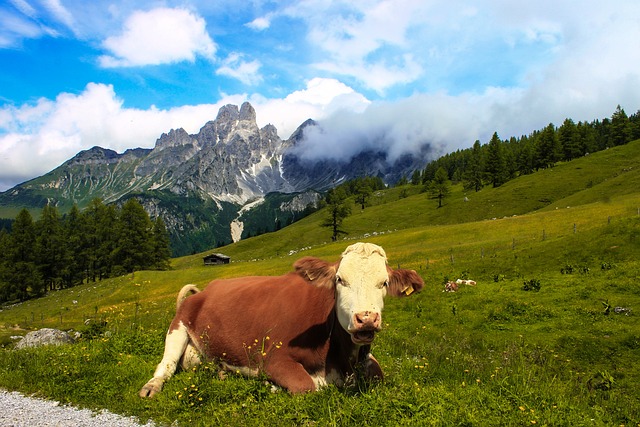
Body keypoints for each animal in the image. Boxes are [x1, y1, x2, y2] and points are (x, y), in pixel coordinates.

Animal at [138, 242, 422, 396]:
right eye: (340, 280)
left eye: (383, 283)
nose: (366, 318)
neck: (338, 359)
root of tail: (206, 289)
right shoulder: (274, 358)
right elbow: (306, 385)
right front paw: (272, 386)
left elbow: (378, 375)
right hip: (178, 327)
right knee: (166, 365)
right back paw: (152, 386)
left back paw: (221, 373)